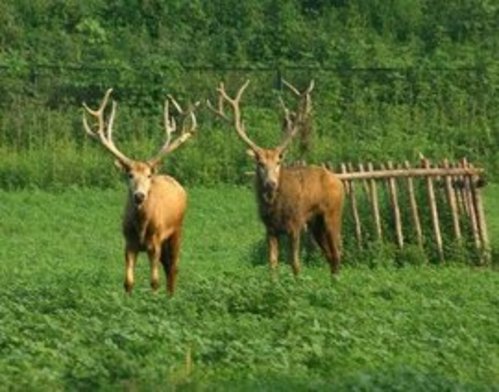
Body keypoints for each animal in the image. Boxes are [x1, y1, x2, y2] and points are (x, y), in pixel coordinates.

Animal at [83, 89, 198, 296]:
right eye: (130, 175)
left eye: (149, 175)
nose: (139, 195)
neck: (142, 227)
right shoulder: (129, 242)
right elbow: (128, 281)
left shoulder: (155, 241)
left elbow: (154, 281)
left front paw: (153, 300)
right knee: (168, 266)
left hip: (177, 229)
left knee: (174, 267)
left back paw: (171, 296)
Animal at [209, 79, 346, 276]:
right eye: (260, 163)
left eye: (278, 162)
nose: (271, 183)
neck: (276, 209)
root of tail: (339, 180)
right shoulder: (270, 228)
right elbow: (272, 263)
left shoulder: (295, 223)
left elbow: (295, 263)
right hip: (316, 223)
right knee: (330, 255)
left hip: (332, 213)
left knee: (337, 252)